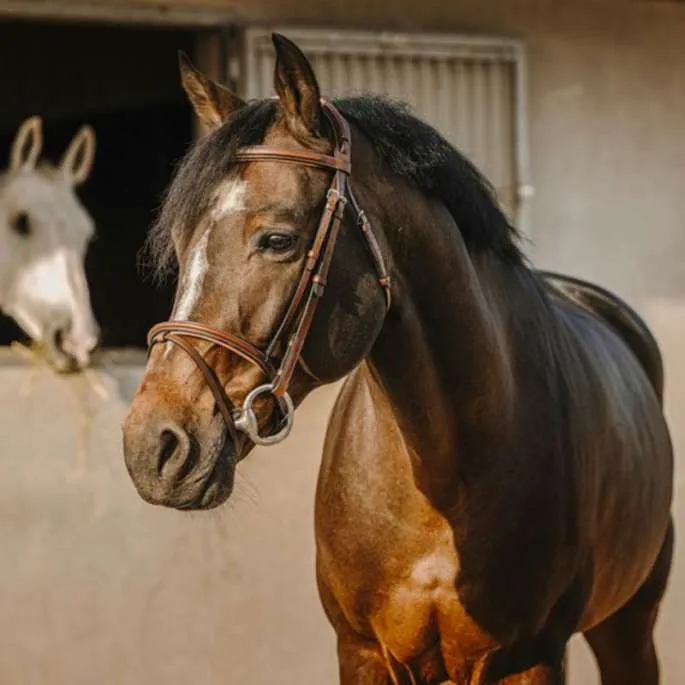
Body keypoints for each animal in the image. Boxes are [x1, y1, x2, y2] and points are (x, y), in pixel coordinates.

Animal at [122, 35, 674, 684]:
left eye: (278, 240)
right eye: (182, 245)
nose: (151, 447)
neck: (441, 479)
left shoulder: (531, 657)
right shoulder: (362, 651)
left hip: (629, 625)